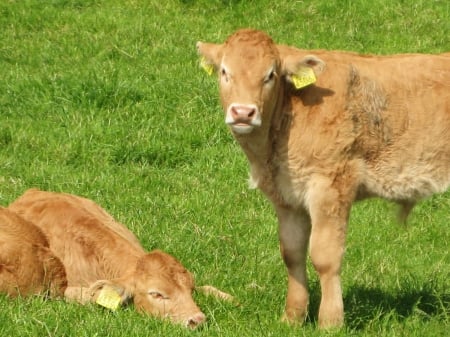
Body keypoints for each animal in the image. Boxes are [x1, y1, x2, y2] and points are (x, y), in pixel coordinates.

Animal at [198, 28, 450, 326]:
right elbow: (292, 253)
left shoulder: (330, 184)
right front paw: (292, 317)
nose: (243, 112)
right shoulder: (287, 197)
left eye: (270, 75)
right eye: (225, 71)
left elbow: (325, 256)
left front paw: (330, 320)